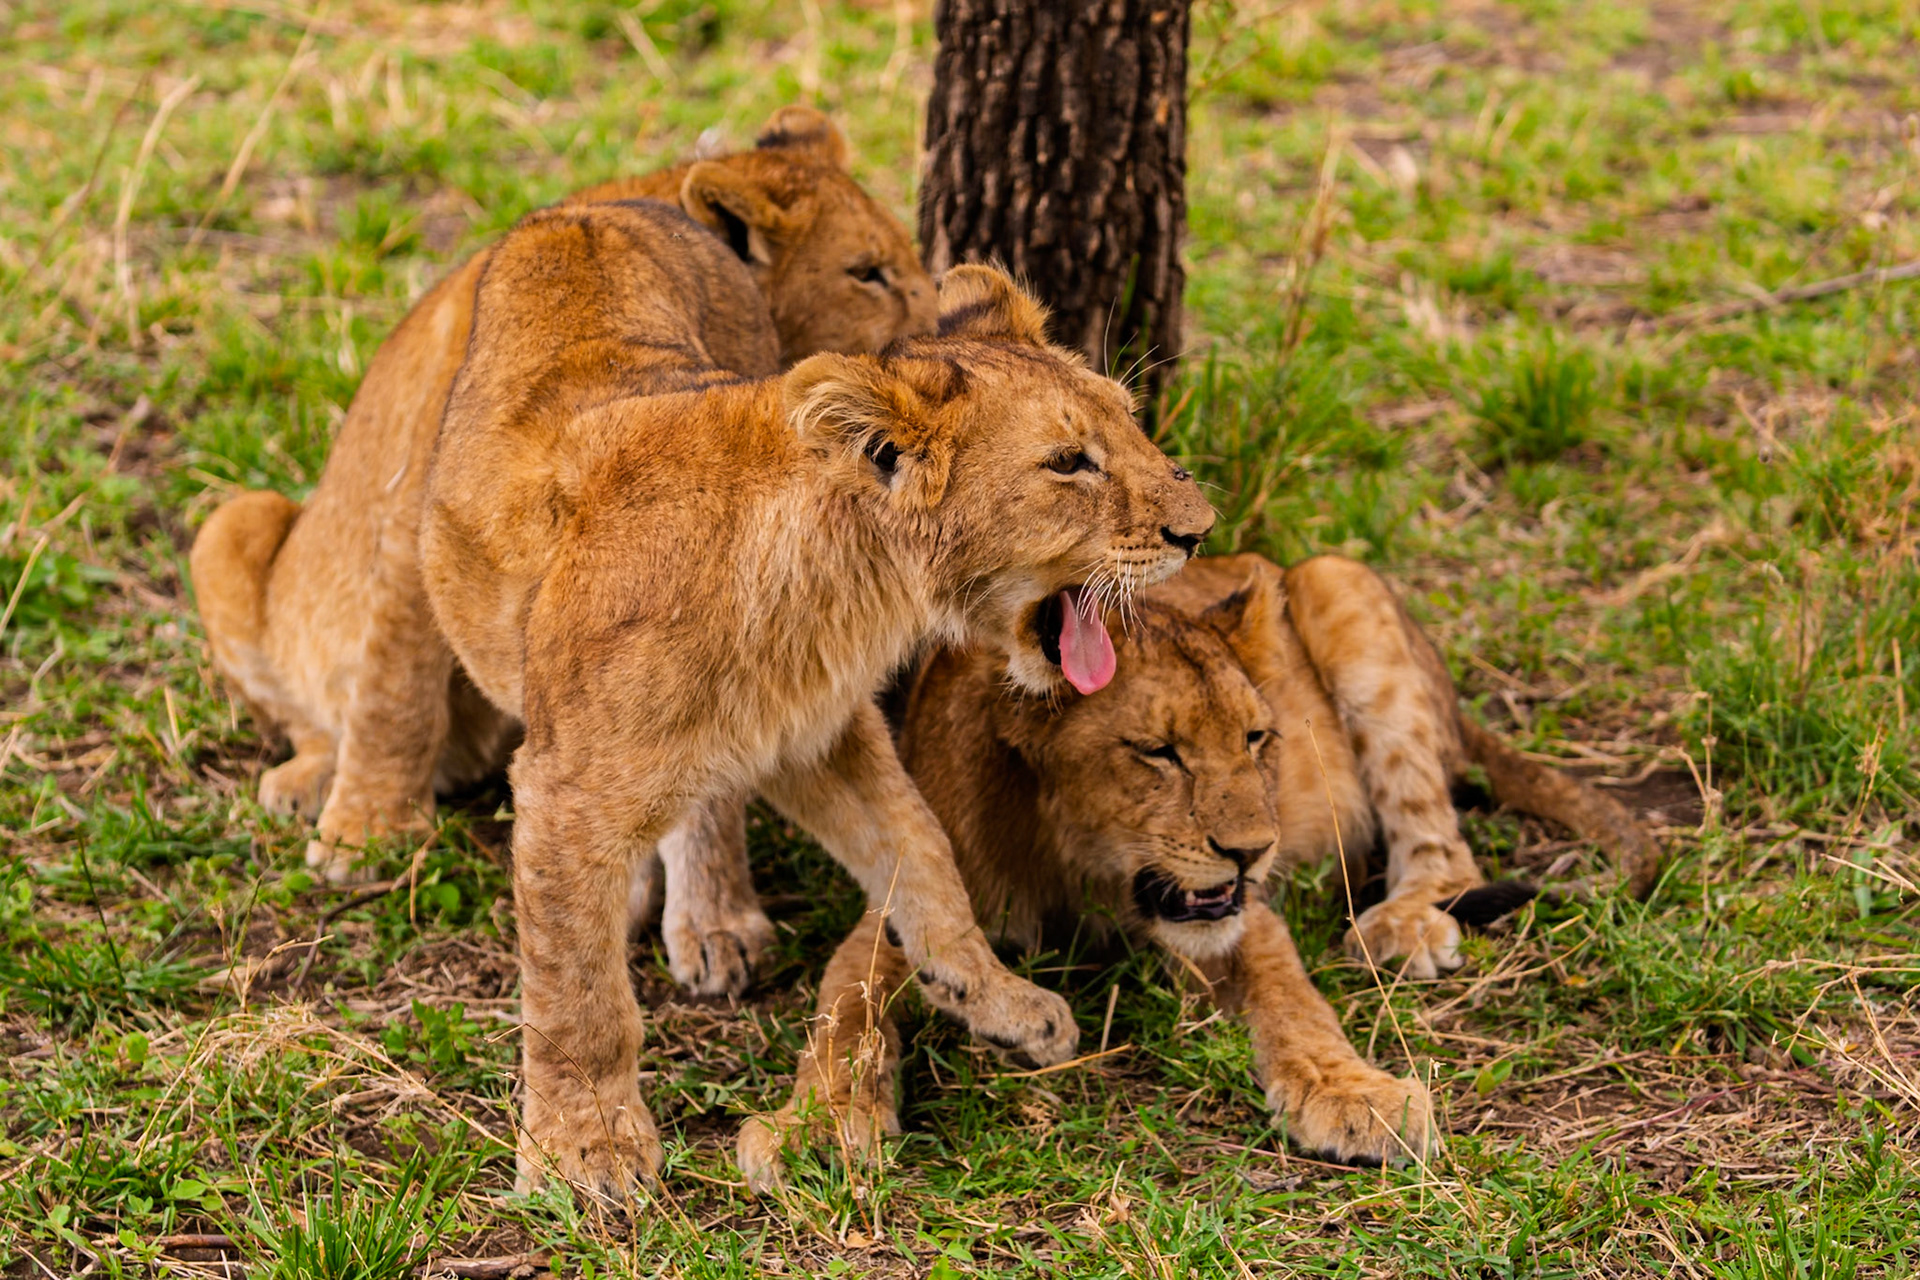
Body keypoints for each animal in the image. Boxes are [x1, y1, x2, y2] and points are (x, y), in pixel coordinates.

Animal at [188, 107, 934, 920]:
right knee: (309, 712)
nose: (944, 326)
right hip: (230, 525)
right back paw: (306, 780)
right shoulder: (412, 523)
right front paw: (368, 834)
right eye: (866, 273)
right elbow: (394, 691)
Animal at [417, 232, 1213, 1201]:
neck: (846, 589)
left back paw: (709, 919)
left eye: (1131, 420)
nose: (1200, 528)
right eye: (1067, 463)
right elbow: (580, 993)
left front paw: (993, 999)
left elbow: (923, 851)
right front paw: (586, 1151)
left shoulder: (819, 734)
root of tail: (581, 212)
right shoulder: (567, 787)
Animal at [736, 552, 1659, 1187]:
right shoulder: (905, 901)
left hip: (1339, 581)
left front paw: (1354, 1094)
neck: (1071, 862)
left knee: (1439, 836)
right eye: (1158, 752)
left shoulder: (1242, 912)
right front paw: (817, 1124)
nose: (1255, 848)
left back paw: (1403, 924)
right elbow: (846, 1009)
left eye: (1257, 737)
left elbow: (1293, 999)